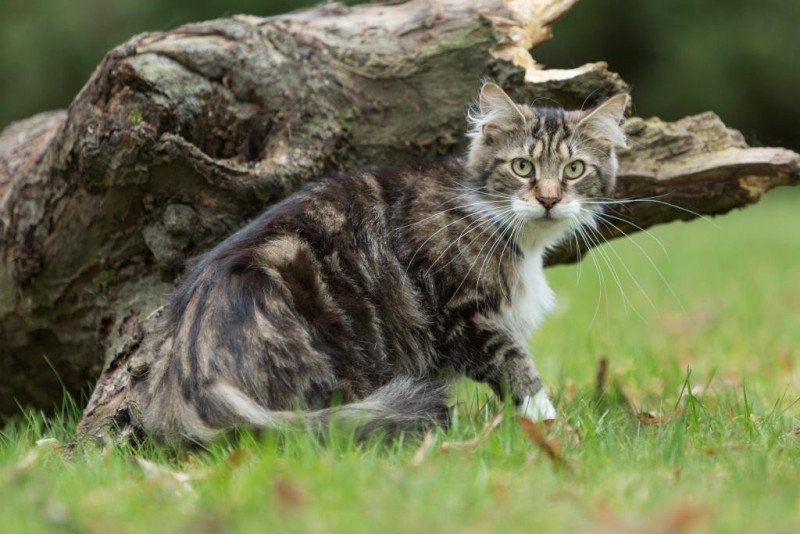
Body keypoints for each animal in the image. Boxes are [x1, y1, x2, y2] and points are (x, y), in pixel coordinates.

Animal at [131, 82, 628, 444]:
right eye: (523, 167)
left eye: (574, 170)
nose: (548, 199)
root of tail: (188, 372)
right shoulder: (463, 314)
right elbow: (520, 370)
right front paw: (555, 427)